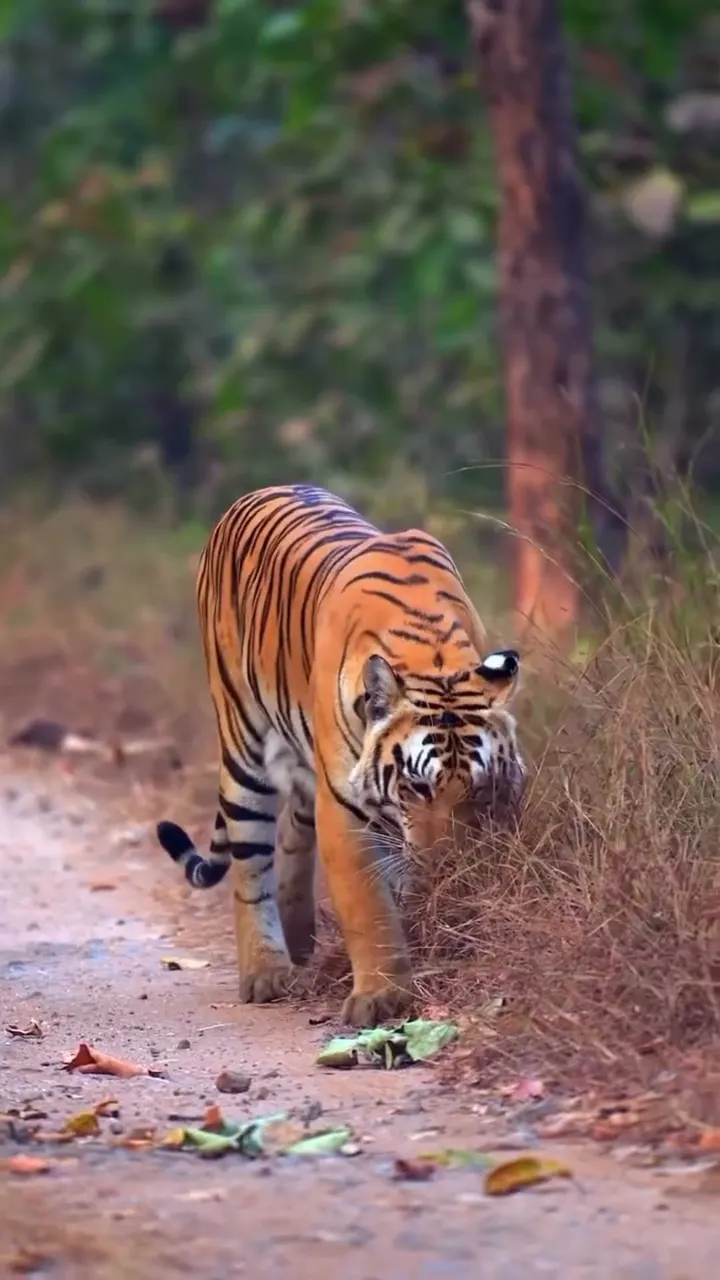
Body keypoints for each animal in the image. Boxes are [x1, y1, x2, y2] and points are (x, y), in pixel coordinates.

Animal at [157, 484, 526, 1026]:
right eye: (418, 787)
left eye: (479, 789)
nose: (445, 867)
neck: (433, 657)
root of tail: (258, 492)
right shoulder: (345, 808)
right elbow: (368, 908)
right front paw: (381, 995)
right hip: (244, 746)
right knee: (250, 865)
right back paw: (267, 971)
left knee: (292, 832)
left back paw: (300, 940)